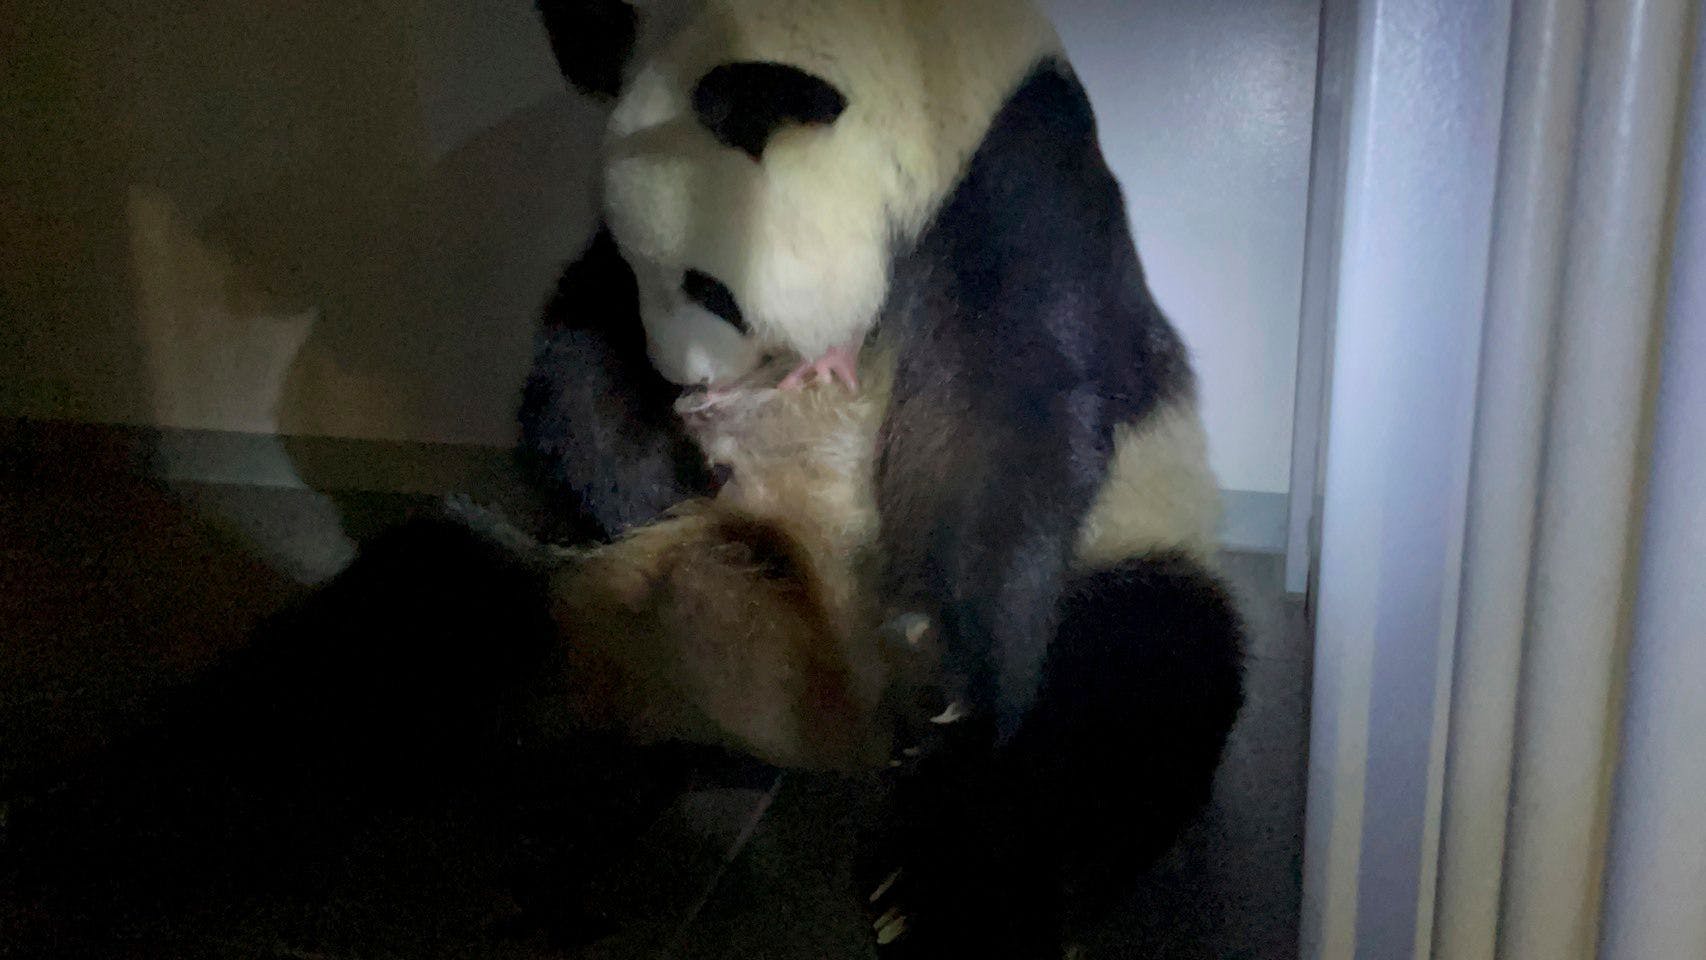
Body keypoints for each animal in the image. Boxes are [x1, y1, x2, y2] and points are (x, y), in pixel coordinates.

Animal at [521, 1, 1246, 955]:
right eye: (645, 271)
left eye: (710, 288)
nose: (682, 378)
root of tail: (843, 729)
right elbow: (578, 342)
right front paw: (649, 477)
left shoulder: (1017, 179)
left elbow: (1006, 397)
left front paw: (940, 653)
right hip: (619, 614)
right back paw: (575, 819)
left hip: (1130, 547)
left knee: (1129, 690)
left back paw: (939, 887)